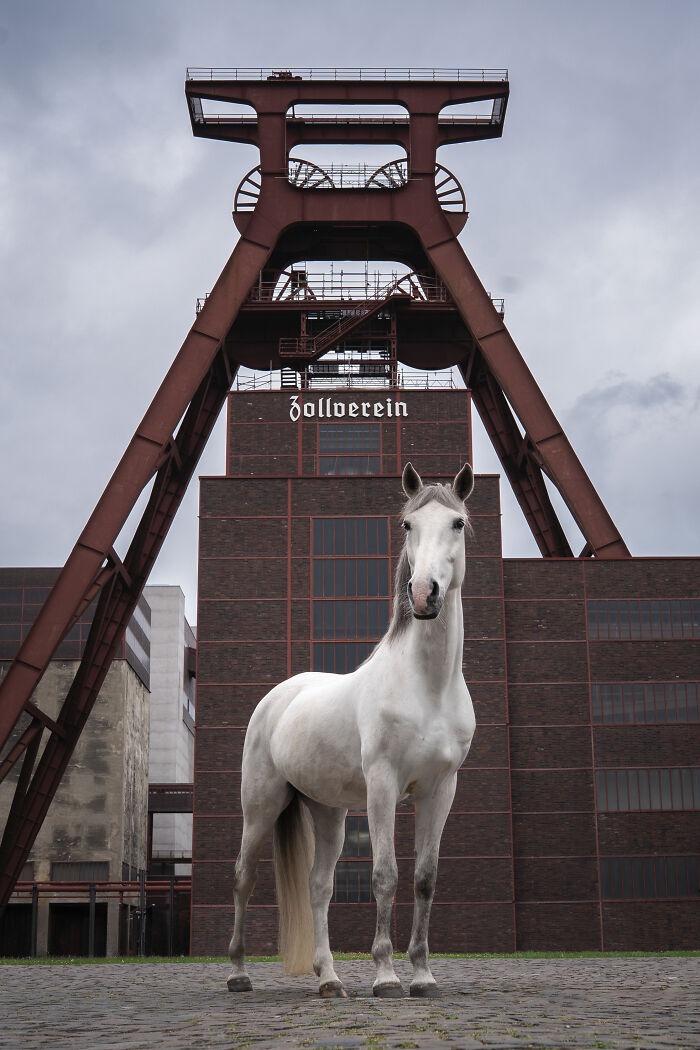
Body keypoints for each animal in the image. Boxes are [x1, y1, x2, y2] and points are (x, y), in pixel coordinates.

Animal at [227, 461, 476, 999]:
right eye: (407, 524)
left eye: (457, 523)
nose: (424, 594)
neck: (426, 688)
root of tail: (277, 698)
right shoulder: (382, 786)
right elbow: (385, 875)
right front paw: (386, 977)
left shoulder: (441, 790)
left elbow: (425, 878)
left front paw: (423, 976)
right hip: (261, 806)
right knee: (243, 878)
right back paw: (238, 973)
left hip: (328, 812)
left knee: (319, 888)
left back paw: (329, 979)